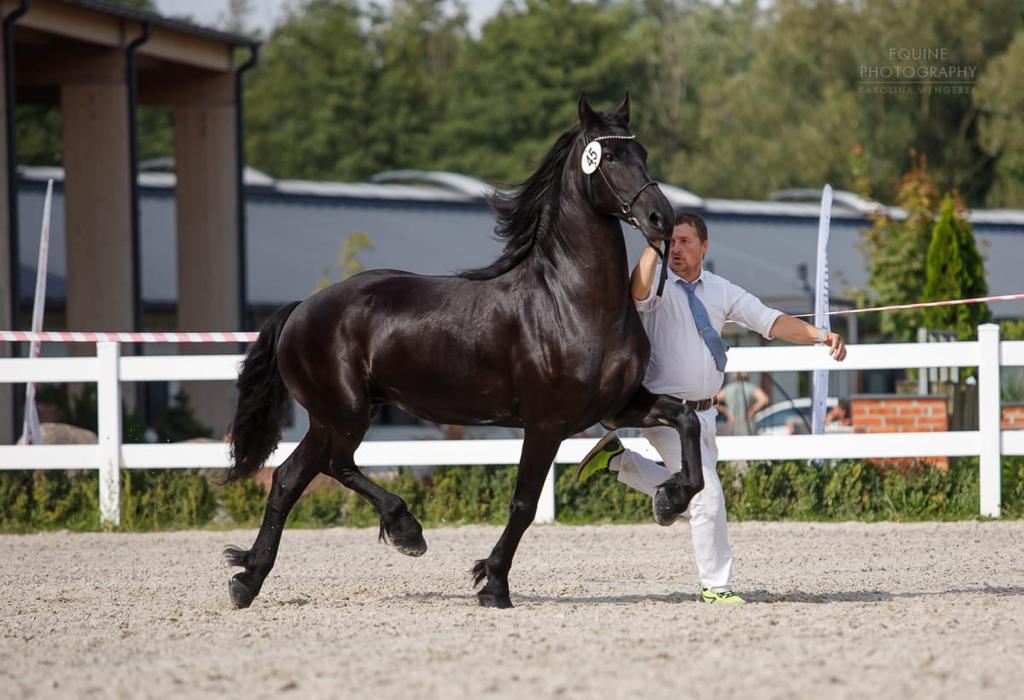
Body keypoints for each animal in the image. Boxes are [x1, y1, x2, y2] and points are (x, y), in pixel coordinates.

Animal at [223, 94, 705, 609]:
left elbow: (687, 420)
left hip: (330, 415)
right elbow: (523, 504)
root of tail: (302, 308)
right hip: (345, 412)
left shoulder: (617, 407)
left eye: (644, 153)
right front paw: (493, 584)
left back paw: (247, 580)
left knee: (288, 478)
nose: (661, 219)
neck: (573, 301)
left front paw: (669, 499)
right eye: (609, 155)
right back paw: (406, 530)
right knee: (336, 465)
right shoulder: (546, 424)